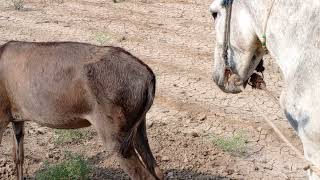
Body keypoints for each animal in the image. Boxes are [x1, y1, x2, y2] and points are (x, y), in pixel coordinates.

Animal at [0, 41, 162, 180]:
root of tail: (149, 76)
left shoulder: (2, 117)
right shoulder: (16, 118)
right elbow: (18, 157)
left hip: (114, 135)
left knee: (144, 175)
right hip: (137, 128)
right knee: (156, 169)